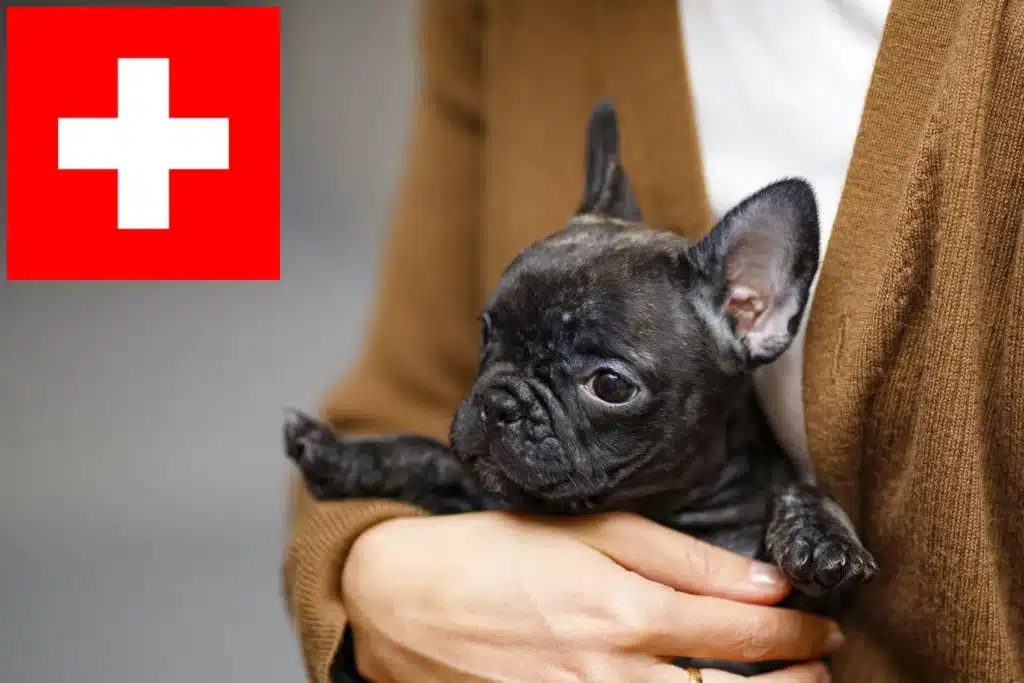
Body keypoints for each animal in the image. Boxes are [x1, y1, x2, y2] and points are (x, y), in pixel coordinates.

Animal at [284, 98, 876, 675]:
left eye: (610, 385)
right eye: (487, 332)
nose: (498, 402)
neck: (664, 507)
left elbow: (803, 493)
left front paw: (820, 539)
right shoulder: (484, 492)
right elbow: (429, 456)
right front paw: (342, 455)